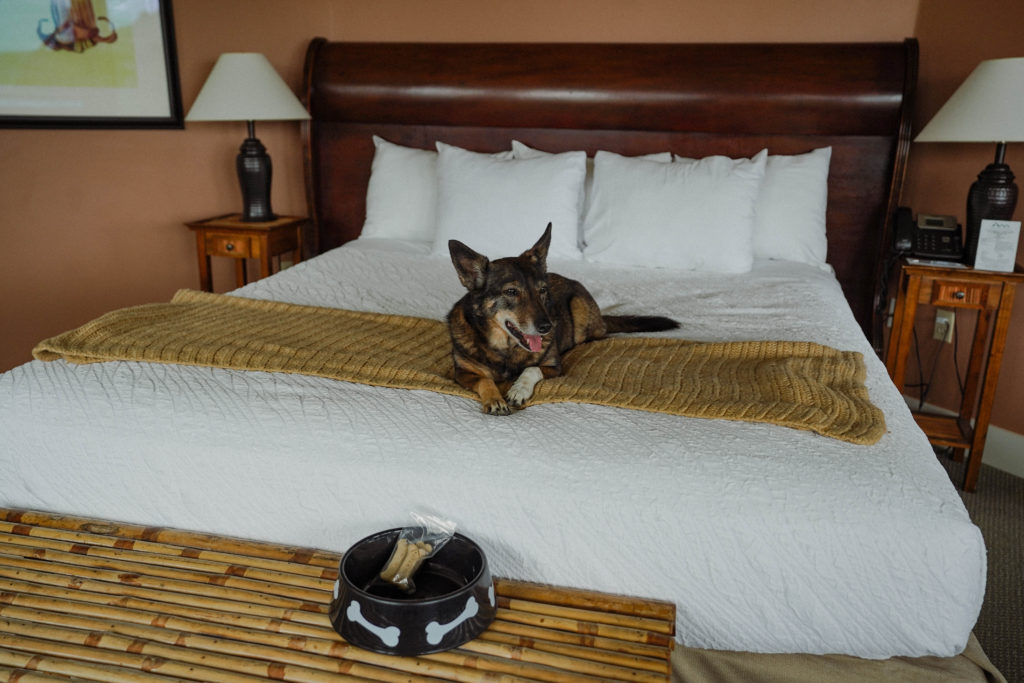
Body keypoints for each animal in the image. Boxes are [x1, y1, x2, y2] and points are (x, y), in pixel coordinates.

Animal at [448, 227, 679, 413]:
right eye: (511, 292)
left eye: (542, 290)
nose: (546, 327)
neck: (505, 349)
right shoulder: (462, 373)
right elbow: (485, 379)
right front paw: (494, 399)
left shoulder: (554, 367)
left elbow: (531, 369)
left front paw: (518, 390)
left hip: (579, 310)